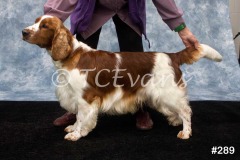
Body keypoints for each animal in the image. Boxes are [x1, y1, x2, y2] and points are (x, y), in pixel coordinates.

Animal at [22, 15, 221, 141]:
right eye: (36, 22)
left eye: (44, 26)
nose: (24, 32)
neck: (71, 54)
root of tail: (172, 56)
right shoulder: (75, 96)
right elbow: (78, 116)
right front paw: (73, 127)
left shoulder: (86, 98)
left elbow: (82, 117)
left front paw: (76, 134)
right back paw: (175, 121)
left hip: (168, 92)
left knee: (186, 111)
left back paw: (185, 132)